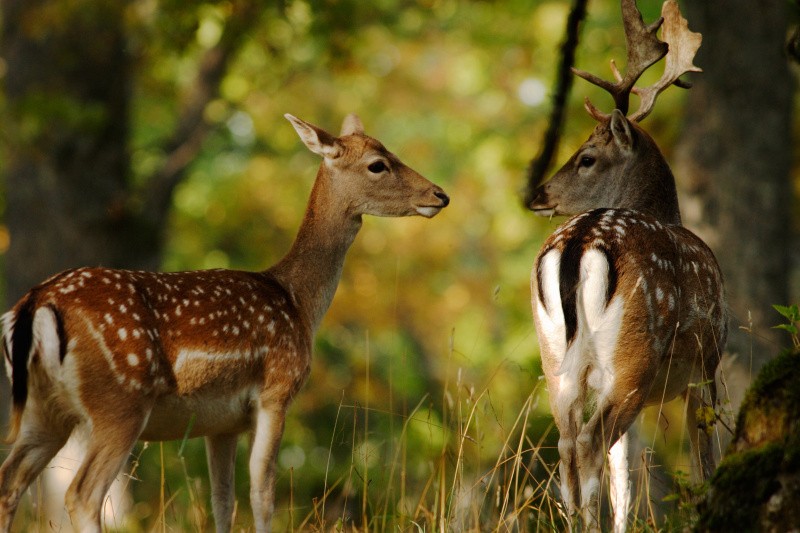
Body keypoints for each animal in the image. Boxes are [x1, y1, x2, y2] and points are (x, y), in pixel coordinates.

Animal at [0, 114, 450, 528]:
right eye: (378, 164)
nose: (440, 194)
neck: (298, 301)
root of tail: (36, 303)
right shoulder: (276, 390)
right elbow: (262, 494)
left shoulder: (221, 422)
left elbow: (223, 501)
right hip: (118, 400)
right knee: (82, 494)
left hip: (43, 407)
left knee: (9, 483)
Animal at [528, 2, 728, 528]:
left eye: (586, 157)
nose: (537, 195)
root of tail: (579, 241)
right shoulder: (708, 359)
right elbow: (704, 455)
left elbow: (626, 476)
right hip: (637, 351)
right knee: (590, 444)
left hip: (558, 361)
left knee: (571, 446)